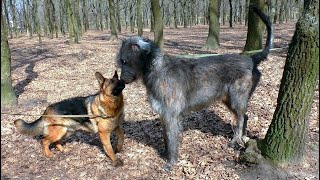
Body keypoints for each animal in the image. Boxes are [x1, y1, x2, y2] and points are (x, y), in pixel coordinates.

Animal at [115, 5, 272, 172]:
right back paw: (241, 138)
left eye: (124, 61)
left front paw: (171, 162)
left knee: (241, 118)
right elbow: (166, 137)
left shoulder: (171, 115)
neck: (156, 68)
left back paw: (235, 141)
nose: (121, 82)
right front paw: (165, 153)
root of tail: (251, 59)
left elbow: (172, 139)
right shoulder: (164, 115)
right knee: (245, 116)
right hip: (228, 99)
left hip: (237, 97)